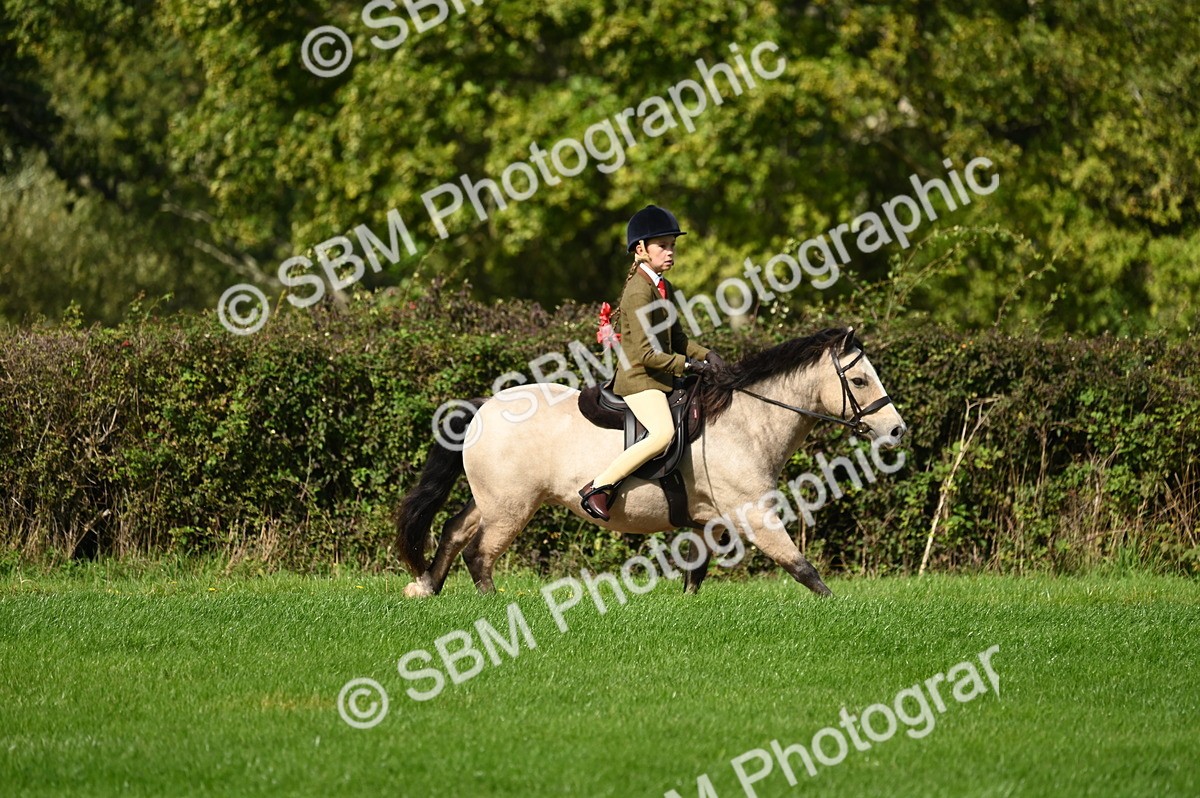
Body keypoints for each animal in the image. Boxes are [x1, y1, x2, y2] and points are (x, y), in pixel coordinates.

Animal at [395, 326, 906, 598]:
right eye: (860, 380)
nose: (897, 430)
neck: (746, 419)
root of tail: (483, 406)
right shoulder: (754, 514)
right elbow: (802, 568)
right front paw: (839, 611)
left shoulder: (708, 522)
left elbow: (695, 576)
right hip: (510, 507)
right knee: (480, 552)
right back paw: (493, 606)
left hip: (493, 500)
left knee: (454, 531)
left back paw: (425, 588)